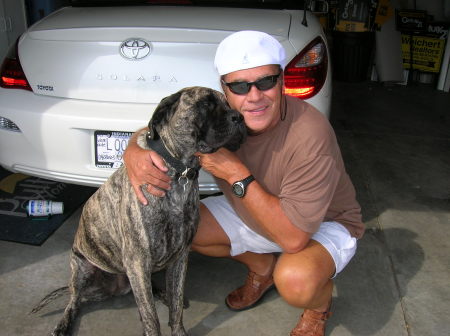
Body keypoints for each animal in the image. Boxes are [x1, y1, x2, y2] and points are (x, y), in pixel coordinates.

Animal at [31, 87, 246, 336]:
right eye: (204, 104)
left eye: (227, 103)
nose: (239, 117)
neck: (179, 173)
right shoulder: (138, 260)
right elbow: (151, 318)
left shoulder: (180, 256)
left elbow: (176, 307)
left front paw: (176, 321)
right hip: (83, 271)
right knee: (74, 301)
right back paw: (63, 323)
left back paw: (161, 293)